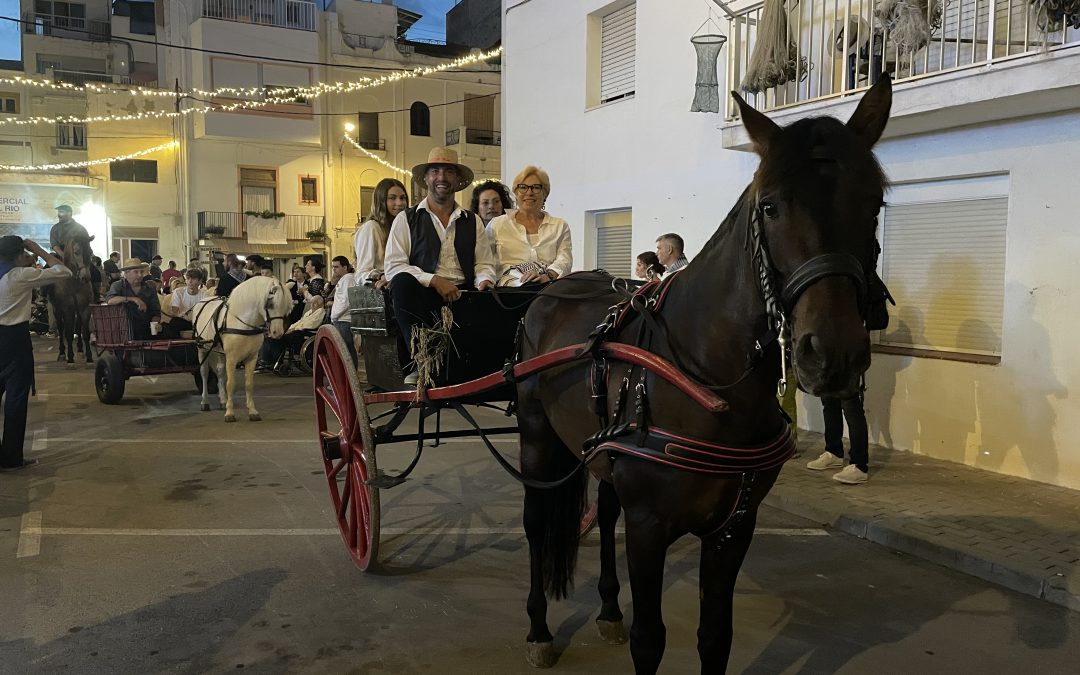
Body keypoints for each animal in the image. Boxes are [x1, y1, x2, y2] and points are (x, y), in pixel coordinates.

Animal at [192, 274, 289, 421]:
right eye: (270, 304)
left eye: (285, 305)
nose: (277, 333)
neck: (243, 323)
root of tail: (202, 301)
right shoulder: (232, 358)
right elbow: (231, 384)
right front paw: (229, 413)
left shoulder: (252, 357)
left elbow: (248, 384)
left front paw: (253, 411)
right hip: (202, 348)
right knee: (204, 373)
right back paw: (205, 402)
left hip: (220, 352)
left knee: (220, 372)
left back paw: (222, 401)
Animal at [518, 76, 889, 669]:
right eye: (770, 206)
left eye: (874, 203)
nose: (832, 353)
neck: (710, 382)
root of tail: (553, 288)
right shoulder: (649, 529)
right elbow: (651, 640)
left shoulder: (733, 528)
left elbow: (716, 637)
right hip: (537, 436)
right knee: (536, 523)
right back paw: (538, 630)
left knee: (604, 512)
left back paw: (608, 609)